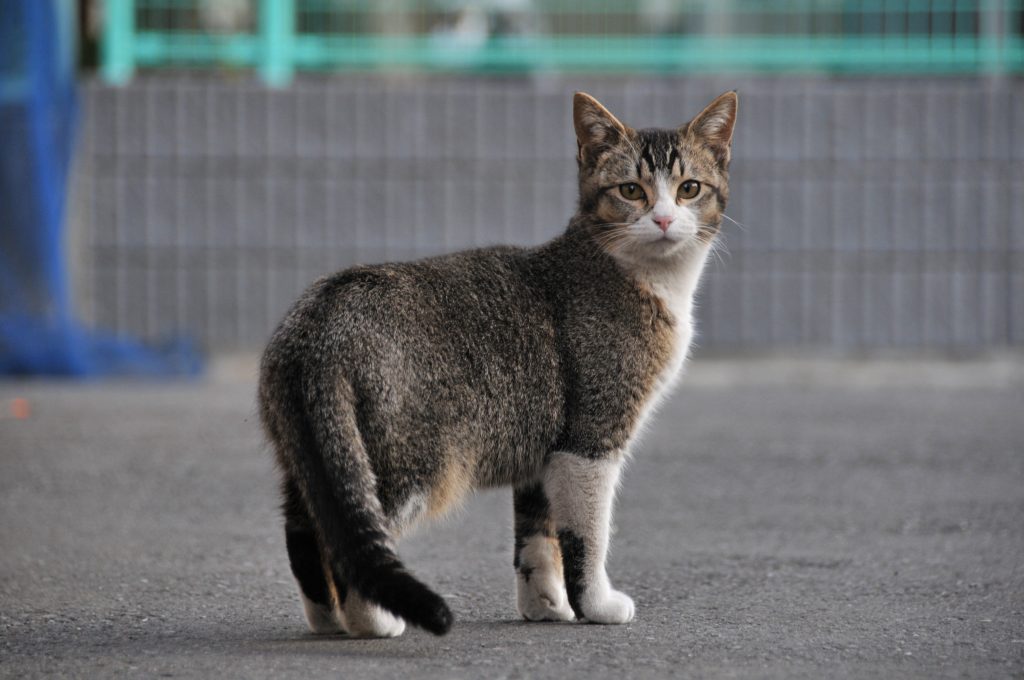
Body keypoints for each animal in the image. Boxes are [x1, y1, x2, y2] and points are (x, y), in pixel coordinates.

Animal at [256, 90, 737, 639]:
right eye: (631, 190)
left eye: (689, 188)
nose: (662, 219)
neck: (647, 280)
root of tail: (322, 318)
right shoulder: (591, 439)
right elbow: (586, 535)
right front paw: (596, 604)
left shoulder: (544, 445)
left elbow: (537, 536)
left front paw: (545, 605)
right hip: (413, 459)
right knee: (352, 532)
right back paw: (373, 622)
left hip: (309, 450)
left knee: (307, 524)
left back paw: (328, 619)